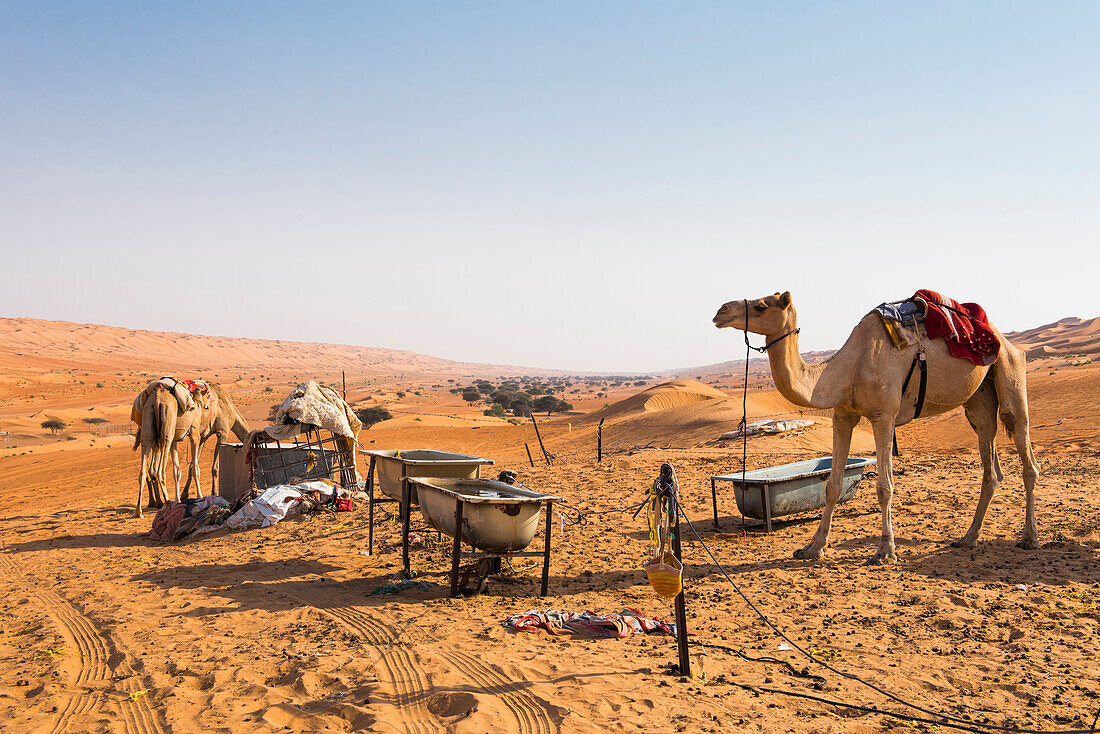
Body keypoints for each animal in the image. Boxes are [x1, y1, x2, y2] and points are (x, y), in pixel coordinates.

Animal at [712, 290, 1038, 567]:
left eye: (761, 306)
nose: (721, 310)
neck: (847, 368)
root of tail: (1003, 338)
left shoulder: (884, 416)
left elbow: (884, 487)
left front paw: (885, 550)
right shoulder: (842, 415)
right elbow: (832, 485)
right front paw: (813, 547)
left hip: (1010, 371)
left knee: (1024, 451)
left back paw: (1028, 538)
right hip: (978, 399)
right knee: (990, 462)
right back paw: (969, 538)